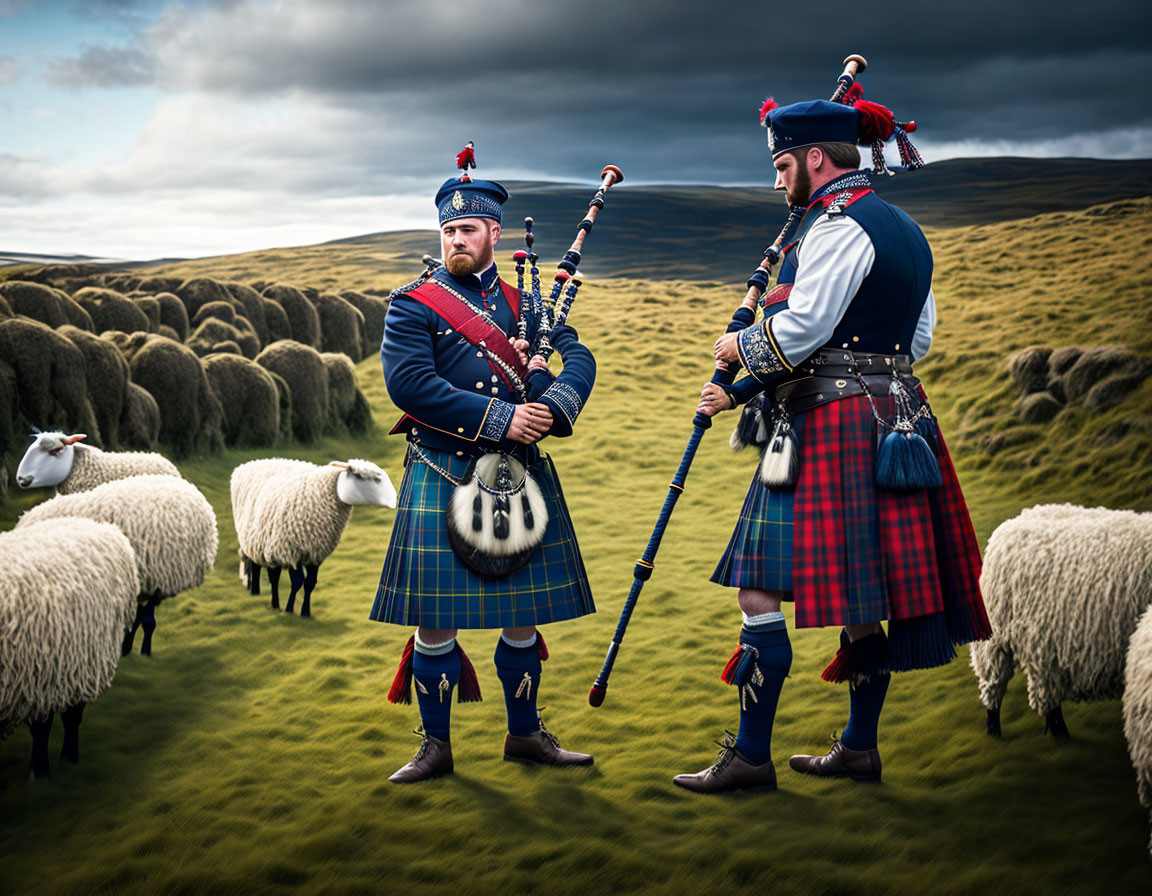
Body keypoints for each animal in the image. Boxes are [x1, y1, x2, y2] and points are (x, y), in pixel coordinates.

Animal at [229, 453, 396, 612]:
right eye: (360, 476)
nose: (394, 499)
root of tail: (248, 464)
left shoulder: (315, 553)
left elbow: (310, 583)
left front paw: (305, 612)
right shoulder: (291, 550)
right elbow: (297, 582)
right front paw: (289, 610)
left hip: (265, 540)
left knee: (270, 572)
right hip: (254, 537)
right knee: (256, 567)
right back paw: (259, 594)